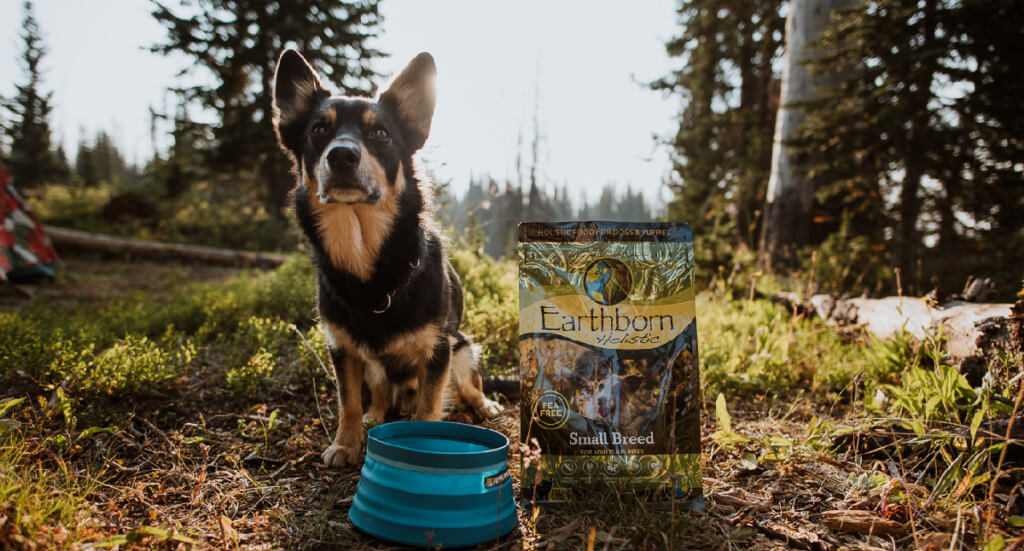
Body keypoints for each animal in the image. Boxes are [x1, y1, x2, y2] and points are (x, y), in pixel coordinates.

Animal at [272, 49, 503, 464]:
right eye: (318, 131)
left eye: (380, 134)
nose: (341, 156)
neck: (369, 261)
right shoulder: (342, 349)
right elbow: (348, 402)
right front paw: (346, 443)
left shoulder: (437, 352)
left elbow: (428, 409)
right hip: (375, 368)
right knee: (378, 396)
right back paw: (376, 415)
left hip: (462, 345)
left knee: (469, 384)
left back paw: (484, 405)